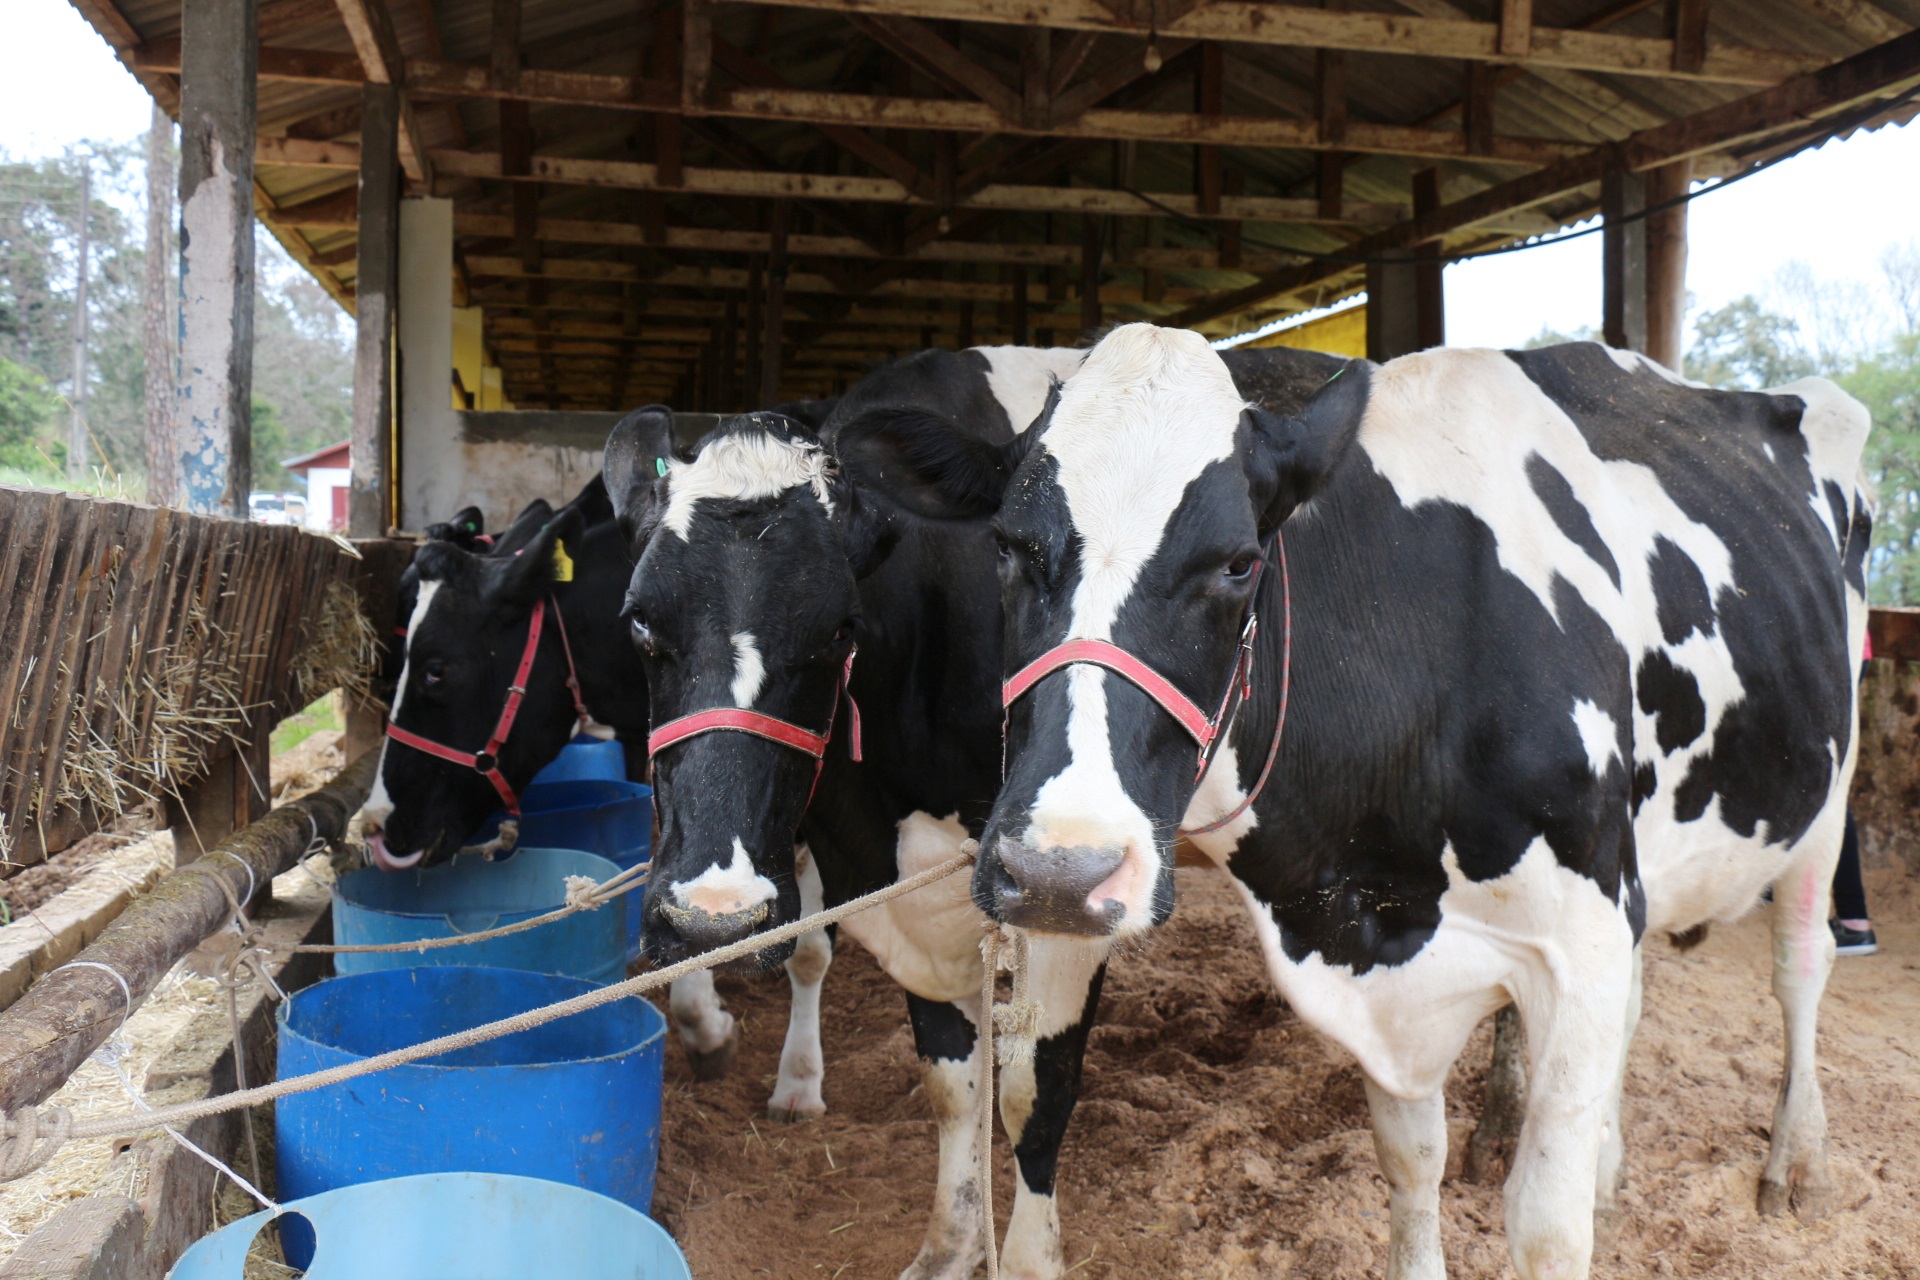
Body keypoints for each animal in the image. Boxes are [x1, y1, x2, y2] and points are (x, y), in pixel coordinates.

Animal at [602, 345, 1136, 1274]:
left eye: (840, 630)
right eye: (638, 623)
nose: (713, 917)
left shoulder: (1067, 876)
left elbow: (1035, 1089)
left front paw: (1028, 1256)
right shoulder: (883, 874)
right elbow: (954, 1080)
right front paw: (951, 1245)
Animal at [860, 328, 1873, 1280]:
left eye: (1240, 563)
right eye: (1005, 545)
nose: (1059, 873)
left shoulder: (1581, 929)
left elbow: (1547, 1229)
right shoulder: (1387, 960)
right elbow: (1410, 1159)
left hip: (1827, 792)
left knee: (1801, 963)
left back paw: (1800, 1163)